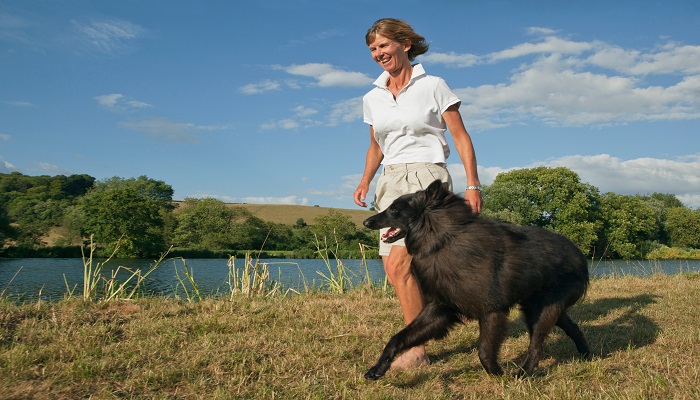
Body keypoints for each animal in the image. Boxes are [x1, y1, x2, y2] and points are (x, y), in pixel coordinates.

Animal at [360, 180, 592, 380]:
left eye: (393, 209)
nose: (366, 221)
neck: (442, 242)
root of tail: (579, 254)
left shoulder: (492, 311)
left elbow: (484, 352)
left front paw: (498, 375)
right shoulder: (438, 310)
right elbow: (397, 338)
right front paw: (378, 368)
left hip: (541, 311)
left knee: (536, 346)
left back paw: (523, 374)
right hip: (538, 307)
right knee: (571, 327)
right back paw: (586, 354)